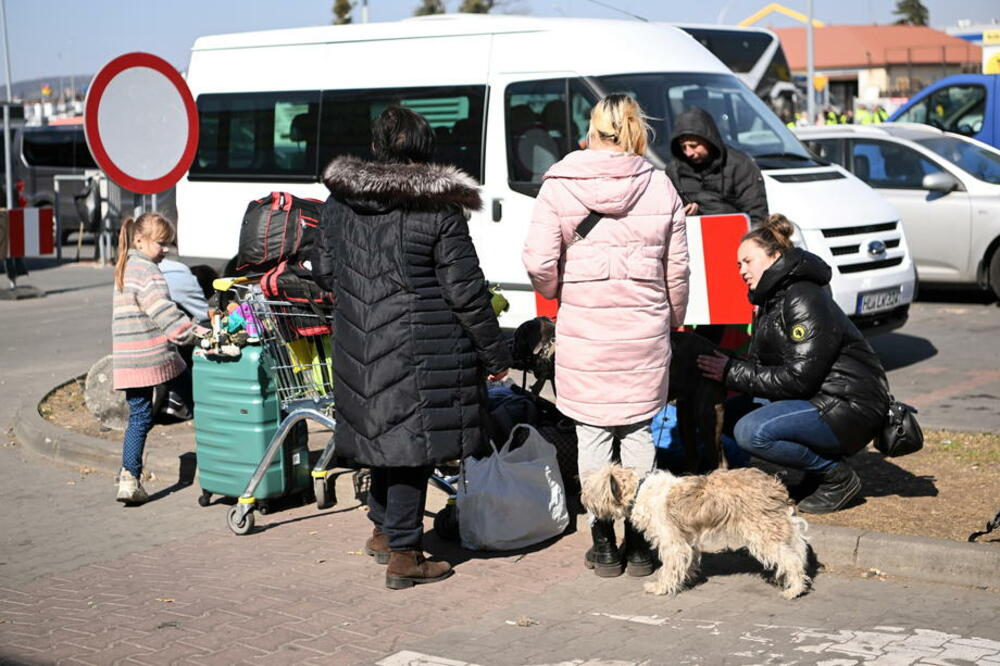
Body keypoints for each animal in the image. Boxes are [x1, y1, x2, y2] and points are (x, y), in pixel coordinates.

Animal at [584, 462, 808, 596]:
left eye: (590, 488)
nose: (582, 498)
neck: (639, 492)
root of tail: (775, 484)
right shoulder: (685, 540)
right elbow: (687, 559)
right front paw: (686, 577)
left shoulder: (672, 543)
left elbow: (670, 566)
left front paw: (661, 587)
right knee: (797, 552)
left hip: (762, 534)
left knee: (792, 560)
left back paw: (794, 589)